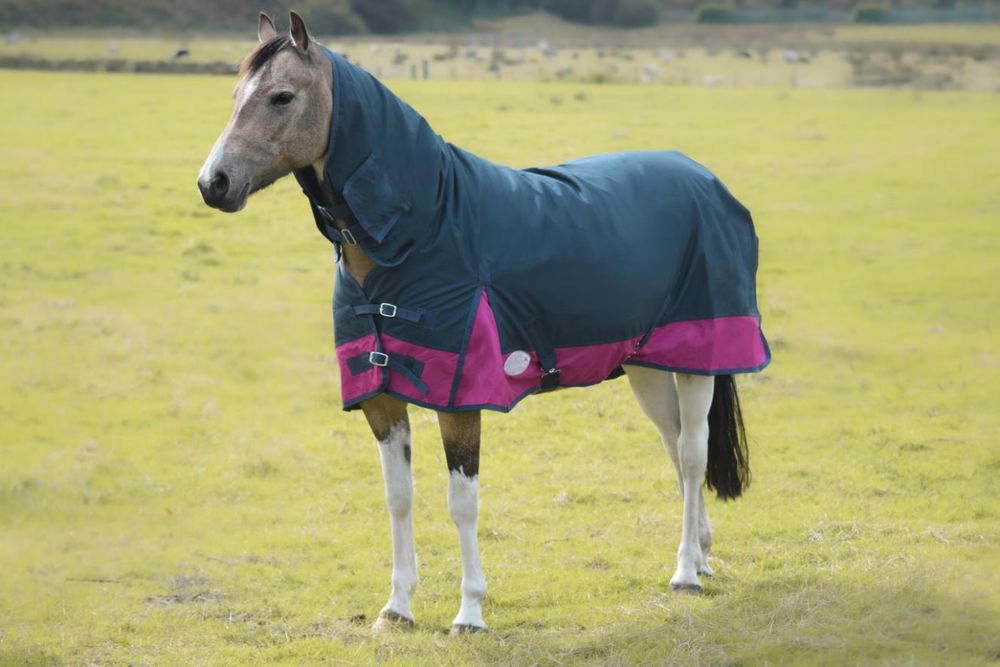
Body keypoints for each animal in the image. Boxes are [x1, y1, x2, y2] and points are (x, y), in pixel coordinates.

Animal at [197, 11, 769, 635]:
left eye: (282, 96)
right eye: (234, 95)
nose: (213, 183)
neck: (423, 231)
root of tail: (702, 177)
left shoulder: (460, 396)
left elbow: (461, 502)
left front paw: (469, 611)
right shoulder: (380, 397)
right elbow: (398, 498)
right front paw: (397, 608)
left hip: (699, 359)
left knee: (691, 453)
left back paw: (686, 572)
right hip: (647, 364)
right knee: (675, 447)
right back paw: (703, 555)